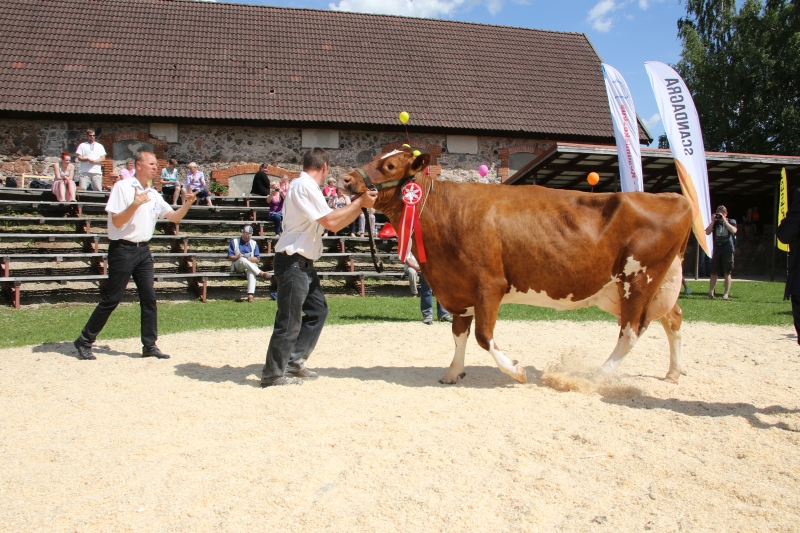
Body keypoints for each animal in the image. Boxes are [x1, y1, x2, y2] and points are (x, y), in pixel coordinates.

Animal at [342, 147, 694, 385]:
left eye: (389, 164)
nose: (345, 178)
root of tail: (676, 198)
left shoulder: (489, 285)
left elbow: (483, 336)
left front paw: (516, 370)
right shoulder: (458, 289)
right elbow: (459, 333)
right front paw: (453, 372)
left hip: (637, 279)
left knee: (632, 330)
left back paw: (595, 376)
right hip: (637, 287)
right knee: (673, 317)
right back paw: (674, 372)